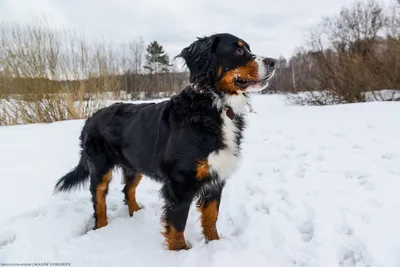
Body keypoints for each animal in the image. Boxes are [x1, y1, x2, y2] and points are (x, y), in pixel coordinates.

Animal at [54, 32, 276, 252]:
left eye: (248, 48)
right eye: (237, 50)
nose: (273, 62)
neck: (215, 106)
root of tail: (91, 118)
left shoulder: (216, 178)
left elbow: (211, 218)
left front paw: (215, 244)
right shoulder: (180, 183)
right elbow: (177, 225)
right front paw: (180, 251)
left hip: (135, 164)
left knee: (128, 189)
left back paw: (136, 212)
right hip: (100, 167)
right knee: (99, 198)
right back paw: (101, 227)